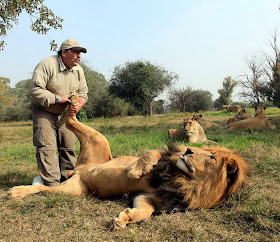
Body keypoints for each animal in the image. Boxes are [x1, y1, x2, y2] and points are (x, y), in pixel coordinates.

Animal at [8, 91, 249, 228]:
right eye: (206, 151)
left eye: (210, 156)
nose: (188, 150)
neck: (186, 181)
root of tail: (79, 170)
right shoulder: (164, 159)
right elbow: (152, 155)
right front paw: (134, 171)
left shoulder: (150, 197)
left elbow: (144, 212)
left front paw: (125, 219)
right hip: (99, 139)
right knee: (70, 120)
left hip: (72, 190)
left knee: (46, 187)